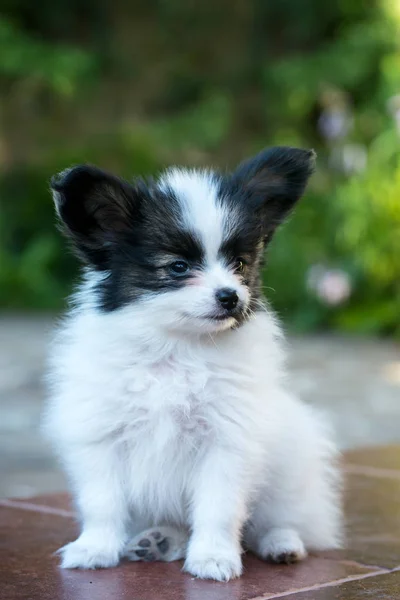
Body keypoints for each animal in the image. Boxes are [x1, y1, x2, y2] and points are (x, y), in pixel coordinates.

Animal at [43, 146, 344, 580]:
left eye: (239, 264)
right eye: (178, 267)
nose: (230, 297)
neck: (176, 348)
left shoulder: (226, 441)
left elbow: (218, 508)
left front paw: (213, 558)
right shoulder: (101, 437)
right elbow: (102, 503)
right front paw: (95, 548)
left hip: (289, 471)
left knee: (280, 519)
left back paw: (282, 545)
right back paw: (160, 540)